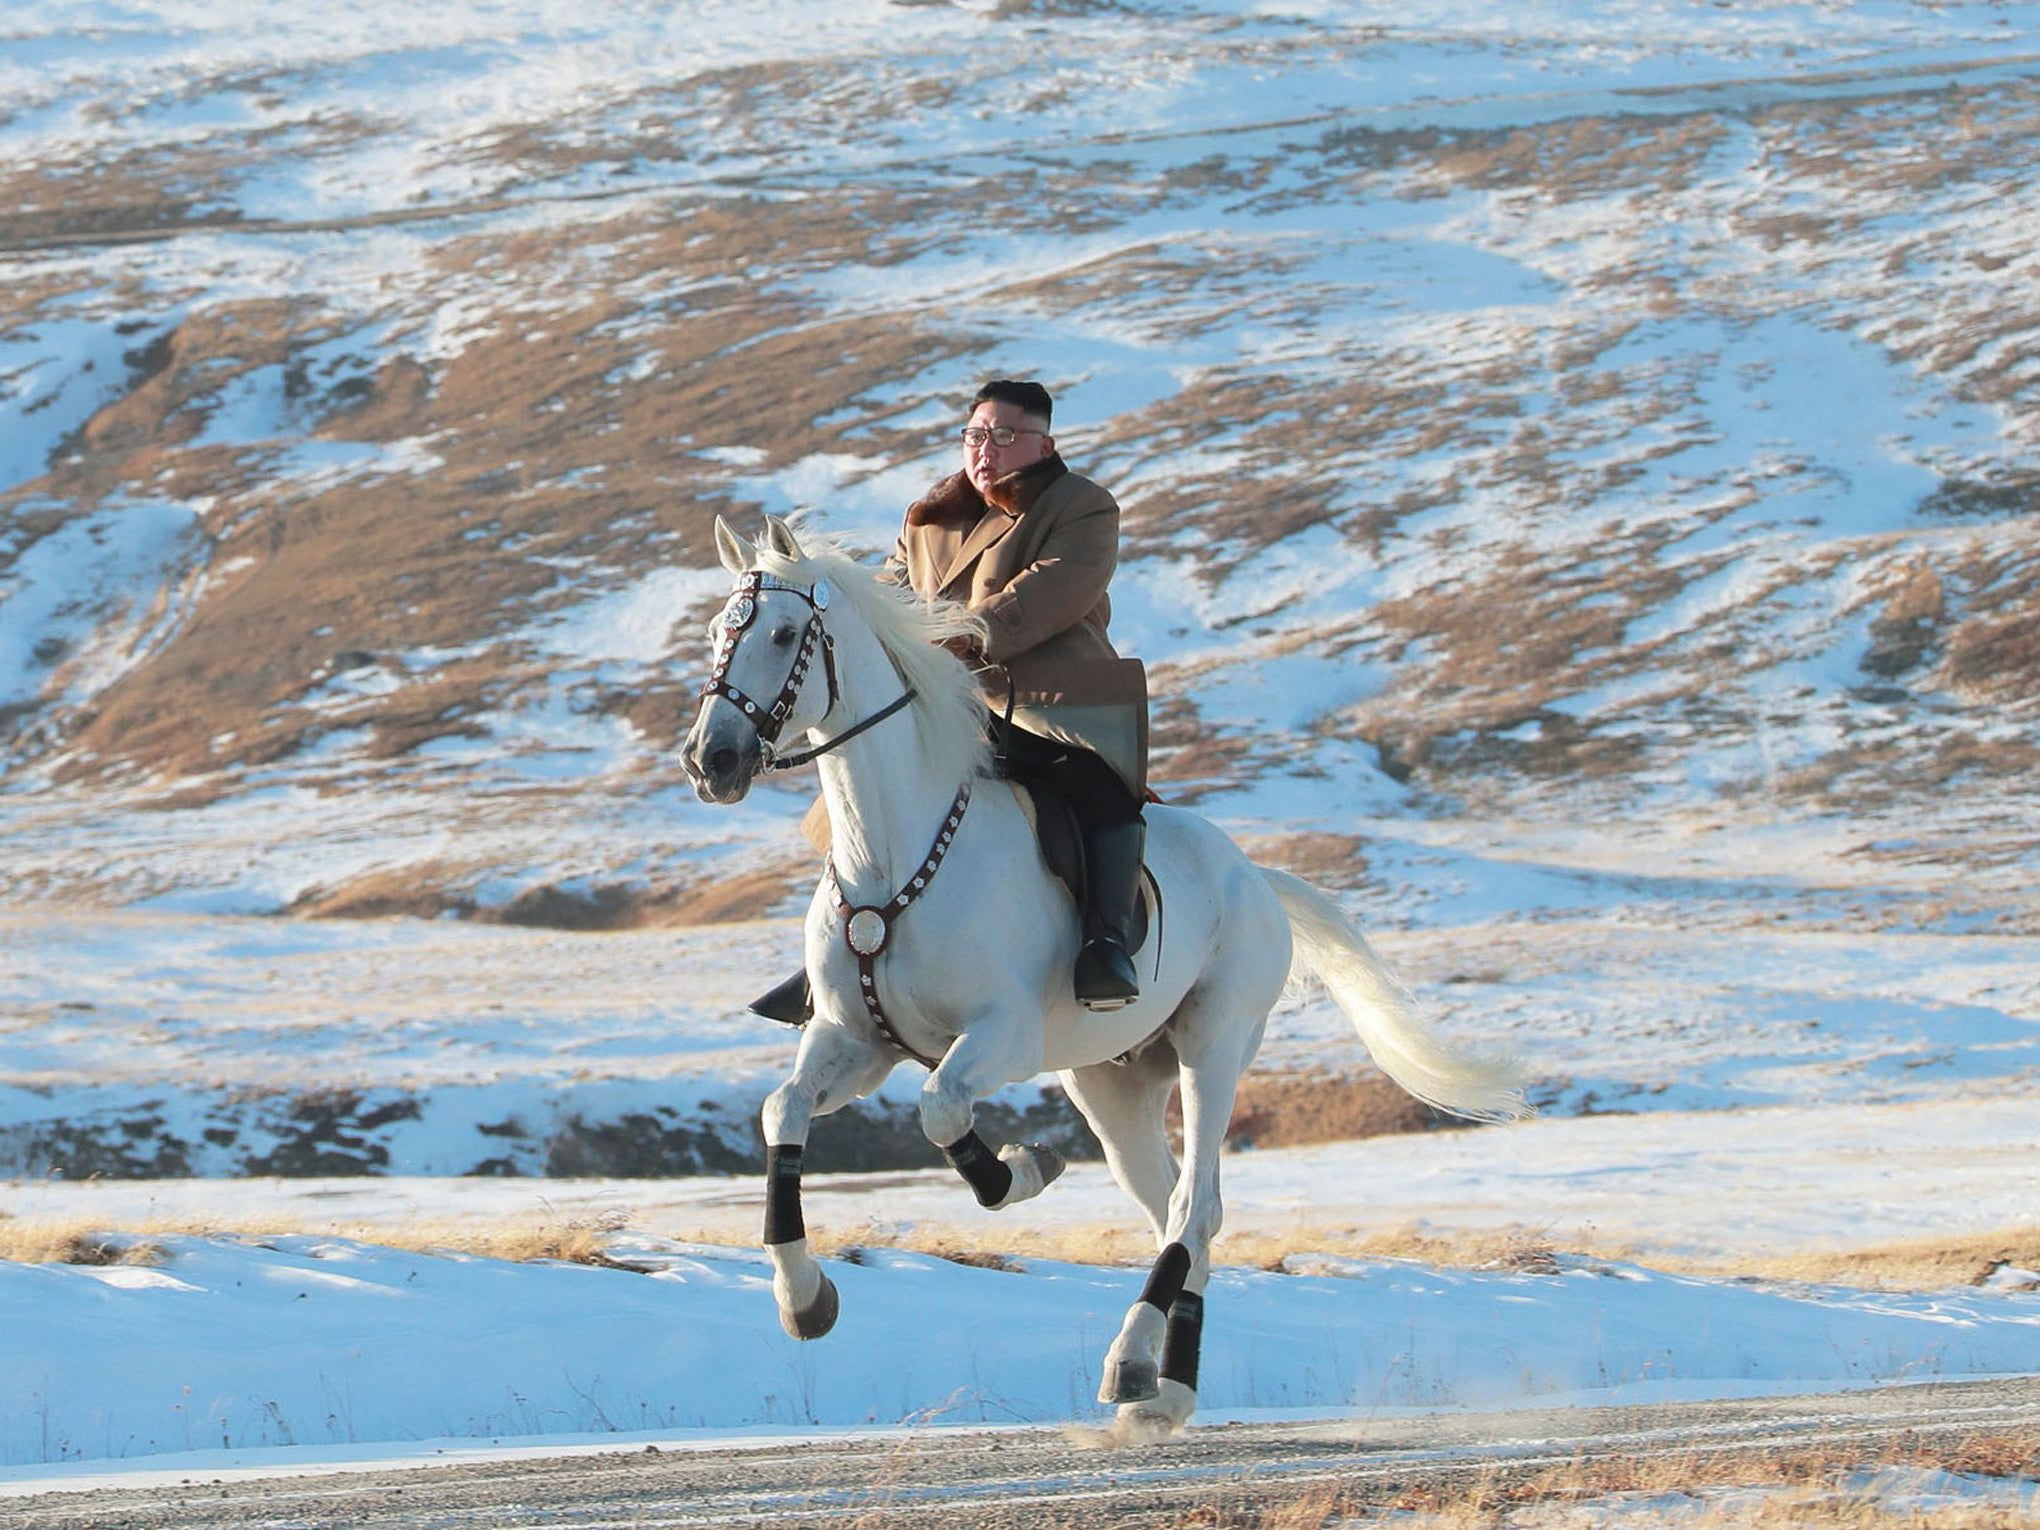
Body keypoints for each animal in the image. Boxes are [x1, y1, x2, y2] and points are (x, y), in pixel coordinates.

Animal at [685, 518, 1534, 1436]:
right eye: (718, 633)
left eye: (781, 634)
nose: (711, 759)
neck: (892, 856)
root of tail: (1255, 876)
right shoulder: (854, 1041)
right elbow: (782, 1113)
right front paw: (803, 1298)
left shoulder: (1000, 1035)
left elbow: (941, 1108)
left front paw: (1022, 1170)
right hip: (1112, 1084)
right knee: (1181, 1213)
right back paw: (1166, 1389)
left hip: (1214, 1045)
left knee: (1192, 1207)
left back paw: (1130, 1362)